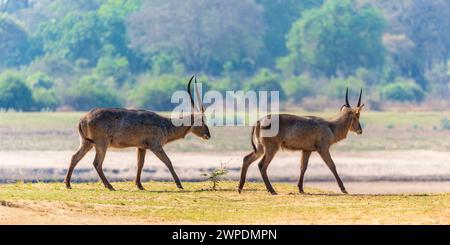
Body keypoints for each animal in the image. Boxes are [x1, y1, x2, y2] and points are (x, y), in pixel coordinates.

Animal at [64, 75, 210, 190]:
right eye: (201, 119)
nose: (208, 135)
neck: (166, 124)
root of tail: (83, 118)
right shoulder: (156, 146)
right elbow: (168, 162)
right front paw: (179, 184)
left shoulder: (141, 147)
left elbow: (140, 164)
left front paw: (139, 185)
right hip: (101, 144)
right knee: (96, 163)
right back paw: (110, 186)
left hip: (87, 143)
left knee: (75, 157)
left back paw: (68, 184)